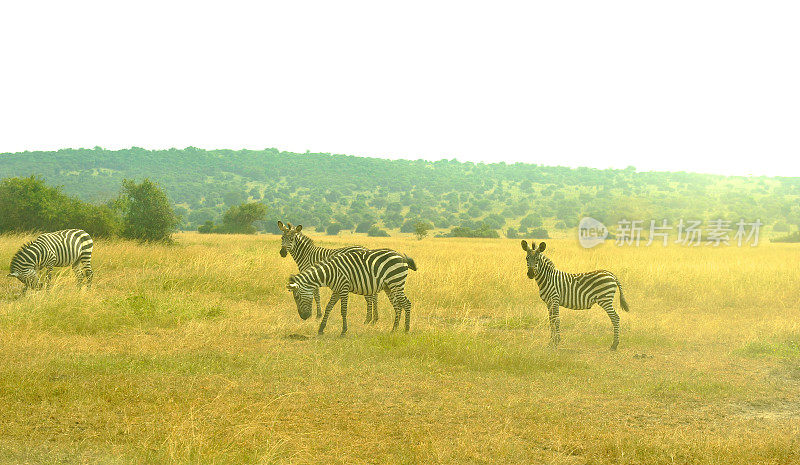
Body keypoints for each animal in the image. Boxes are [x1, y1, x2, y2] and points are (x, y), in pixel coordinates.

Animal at [284, 248, 416, 336]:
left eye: (296, 297)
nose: (304, 317)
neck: (329, 273)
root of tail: (401, 256)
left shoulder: (344, 289)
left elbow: (343, 310)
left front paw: (343, 330)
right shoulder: (336, 291)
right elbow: (328, 307)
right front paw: (321, 328)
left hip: (396, 283)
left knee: (406, 304)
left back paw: (406, 329)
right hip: (389, 286)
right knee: (398, 306)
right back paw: (394, 329)